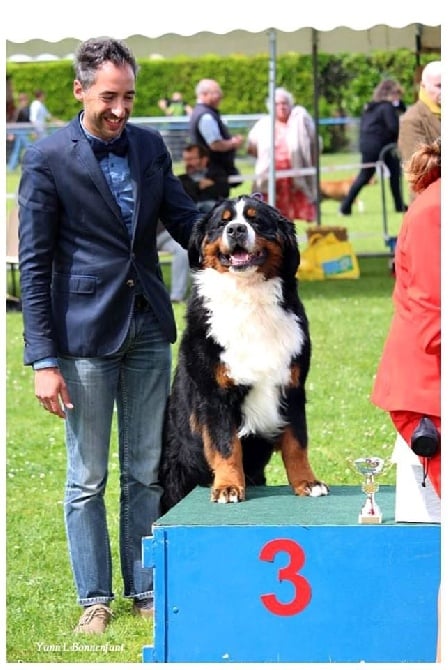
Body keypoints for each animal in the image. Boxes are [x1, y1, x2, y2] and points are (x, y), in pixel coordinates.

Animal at [159, 197, 328, 512]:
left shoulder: (292, 387)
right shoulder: (216, 395)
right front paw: (228, 487)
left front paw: (307, 482)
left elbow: (297, 443)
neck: (249, 298)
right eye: (223, 222)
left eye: (255, 220)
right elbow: (226, 445)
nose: (237, 229)